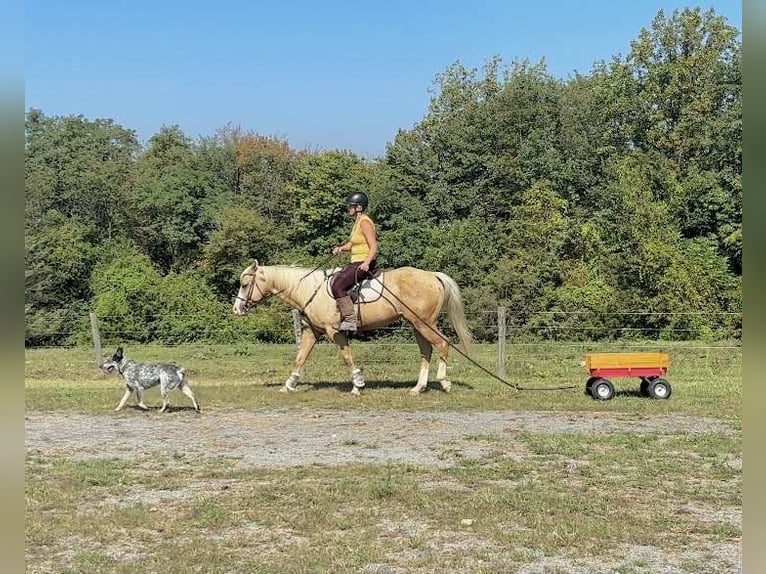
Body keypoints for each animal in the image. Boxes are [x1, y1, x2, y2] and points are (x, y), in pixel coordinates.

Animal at [232, 260, 473, 395]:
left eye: (245, 284)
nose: (237, 309)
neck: (309, 289)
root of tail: (433, 275)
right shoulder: (312, 332)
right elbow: (300, 358)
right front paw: (288, 385)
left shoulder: (334, 332)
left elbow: (347, 357)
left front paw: (357, 384)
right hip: (416, 325)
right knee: (427, 351)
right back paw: (418, 388)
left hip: (424, 324)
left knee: (443, 344)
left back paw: (444, 382)